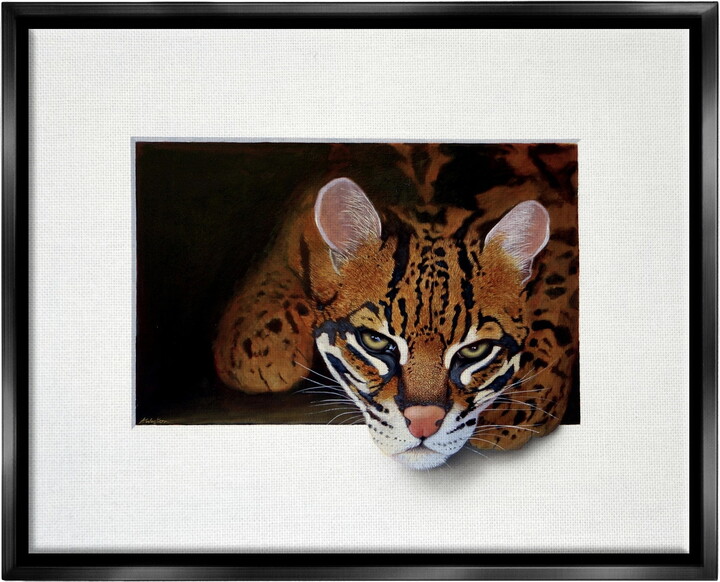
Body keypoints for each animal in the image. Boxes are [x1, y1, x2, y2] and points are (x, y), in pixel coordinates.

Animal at [213, 143, 578, 470]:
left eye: (475, 351)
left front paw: (521, 400)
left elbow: (558, 299)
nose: (423, 424)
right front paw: (258, 343)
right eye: (375, 341)